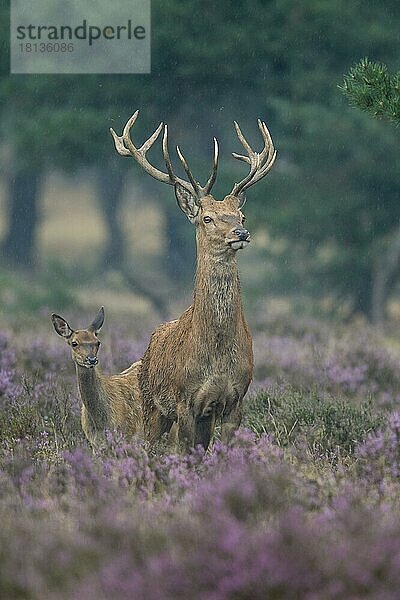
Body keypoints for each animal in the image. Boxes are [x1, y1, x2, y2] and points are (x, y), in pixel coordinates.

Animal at [111, 111, 276, 450]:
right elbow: (185, 452)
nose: (241, 233)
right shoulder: (184, 400)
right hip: (152, 405)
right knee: (150, 445)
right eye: (207, 218)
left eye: (241, 217)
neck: (216, 354)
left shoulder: (235, 400)